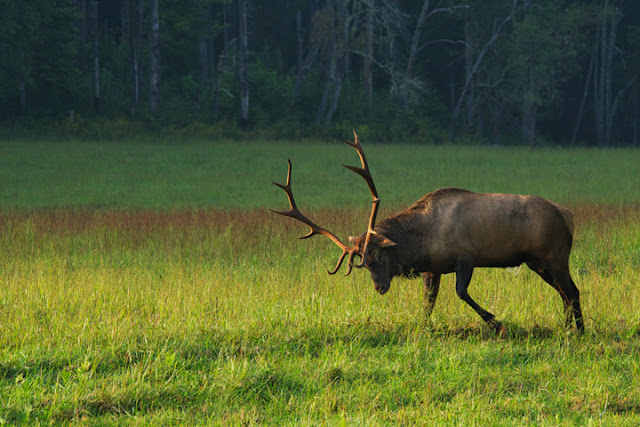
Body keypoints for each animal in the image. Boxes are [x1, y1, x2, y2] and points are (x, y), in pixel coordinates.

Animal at [272, 130, 584, 334]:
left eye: (379, 257)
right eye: (364, 264)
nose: (379, 288)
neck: (422, 240)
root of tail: (568, 215)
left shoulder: (466, 256)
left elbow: (461, 292)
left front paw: (497, 323)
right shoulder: (432, 268)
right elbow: (428, 302)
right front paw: (423, 327)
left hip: (555, 254)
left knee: (571, 290)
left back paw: (576, 330)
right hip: (536, 261)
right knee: (565, 291)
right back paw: (569, 328)